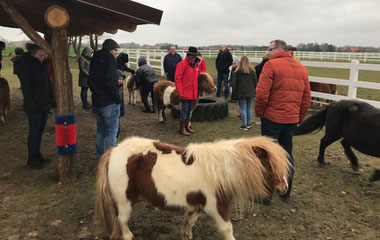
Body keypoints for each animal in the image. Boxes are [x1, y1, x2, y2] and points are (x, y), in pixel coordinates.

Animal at [95, 136, 290, 239]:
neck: (221, 171)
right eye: (270, 165)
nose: (284, 186)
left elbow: (189, 223)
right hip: (124, 202)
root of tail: (113, 150)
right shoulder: (217, 207)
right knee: (122, 221)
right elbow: (227, 230)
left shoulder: (196, 205)